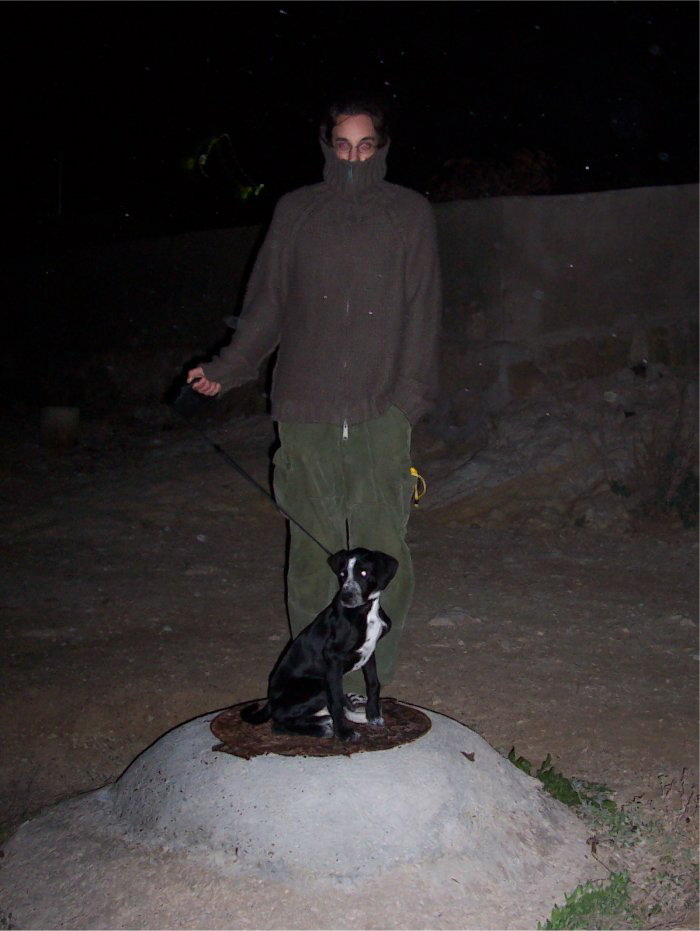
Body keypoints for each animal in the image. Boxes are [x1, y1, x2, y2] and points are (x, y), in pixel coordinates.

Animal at [241, 548, 396, 744]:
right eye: (342, 574)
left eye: (363, 573)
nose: (346, 597)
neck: (365, 611)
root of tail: (270, 702)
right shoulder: (333, 657)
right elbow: (336, 700)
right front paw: (343, 733)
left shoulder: (368, 652)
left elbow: (373, 683)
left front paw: (373, 714)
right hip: (319, 685)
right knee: (278, 723)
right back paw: (320, 729)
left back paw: (324, 720)